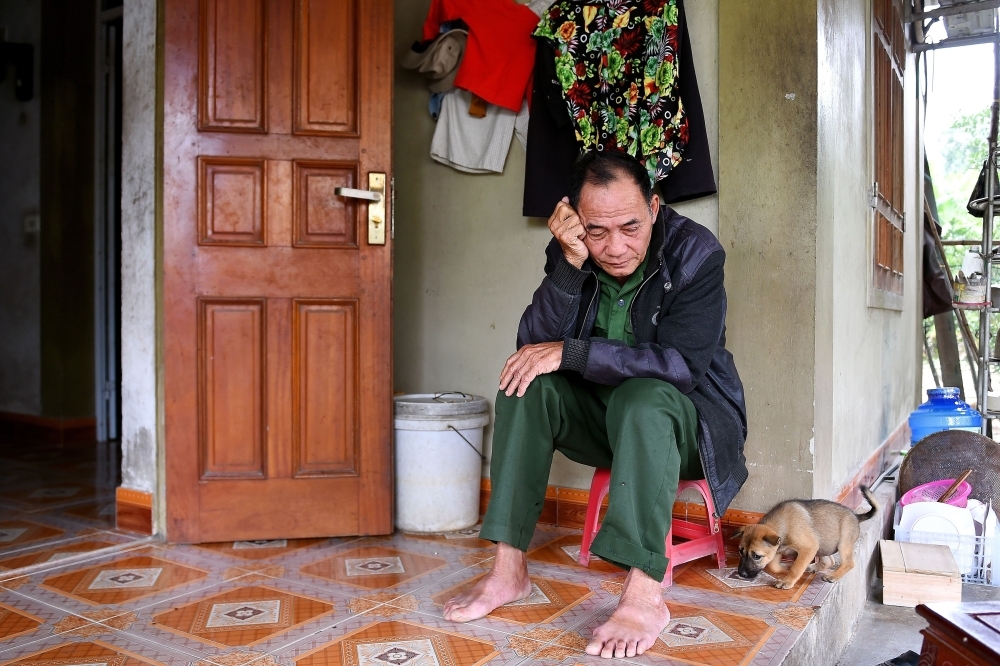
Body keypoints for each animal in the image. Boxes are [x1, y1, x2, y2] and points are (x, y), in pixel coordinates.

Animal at [732, 482, 880, 588]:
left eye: (757, 556)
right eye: (740, 551)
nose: (741, 574)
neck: (783, 524)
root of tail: (856, 516)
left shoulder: (808, 547)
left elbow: (796, 568)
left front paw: (787, 581)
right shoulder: (779, 549)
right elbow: (774, 565)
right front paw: (783, 570)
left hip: (842, 543)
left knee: (848, 563)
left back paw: (832, 576)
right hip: (822, 544)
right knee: (829, 561)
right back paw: (812, 567)